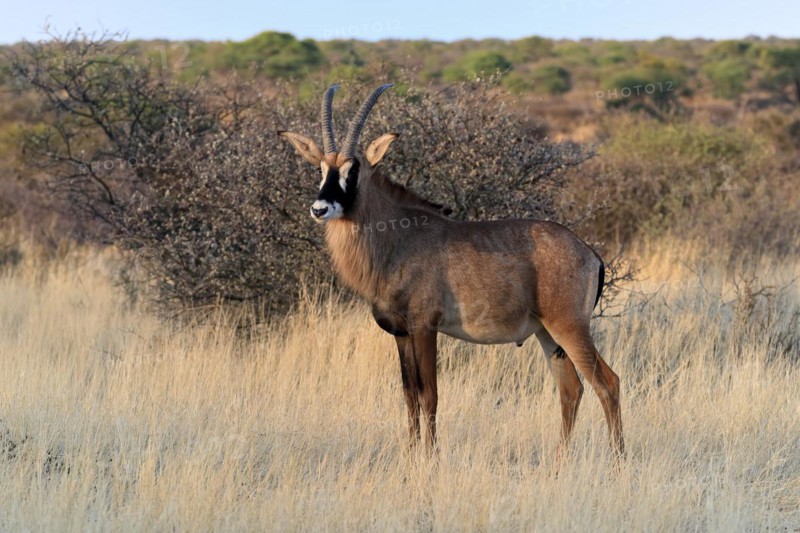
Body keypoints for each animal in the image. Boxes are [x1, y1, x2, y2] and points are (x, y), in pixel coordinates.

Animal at [278, 84, 624, 457]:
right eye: (320, 169)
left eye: (352, 170)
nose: (320, 208)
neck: (398, 238)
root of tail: (589, 252)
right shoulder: (401, 334)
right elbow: (409, 396)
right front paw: (411, 452)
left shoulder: (425, 328)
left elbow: (429, 394)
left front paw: (429, 456)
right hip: (547, 333)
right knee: (571, 388)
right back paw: (560, 459)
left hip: (569, 327)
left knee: (607, 382)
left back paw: (618, 458)